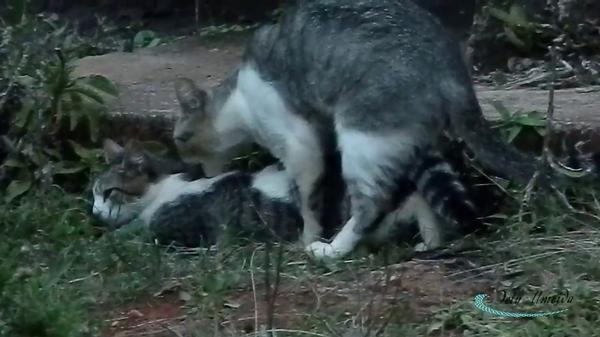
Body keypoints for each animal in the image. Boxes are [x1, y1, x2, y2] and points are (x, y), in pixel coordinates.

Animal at [91, 138, 476, 251]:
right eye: (92, 193)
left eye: (108, 192)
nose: (94, 212)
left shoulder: (173, 228)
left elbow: (137, 234)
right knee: (420, 201)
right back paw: (431, 239)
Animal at [170, 0, 544, 260]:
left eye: (180, 140)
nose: (191, 170)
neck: (239, 103)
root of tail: (452, 68)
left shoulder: (299, 143)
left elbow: (308, 201)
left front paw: (306, 239)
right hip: (409, 140)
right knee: (425, 189)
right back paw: (431, 241)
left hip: (362, 137)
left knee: (370, 204)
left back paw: (334, 249)